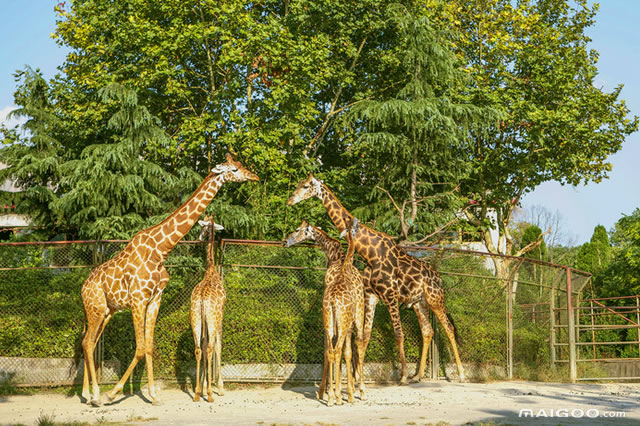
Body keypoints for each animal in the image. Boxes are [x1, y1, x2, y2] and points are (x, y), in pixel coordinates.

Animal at [80, 154, 258, 406]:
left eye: (242, 165)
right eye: (234, 169)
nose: (255, 177)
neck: (161, 249)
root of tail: (84, 287)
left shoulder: (155, 299)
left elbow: (149, 346)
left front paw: (153, 395)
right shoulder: (138, 300)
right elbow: (140, 347)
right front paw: (113, 392)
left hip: (105, 311)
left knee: (89, 342)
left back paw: (87, 394)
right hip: (95, 307)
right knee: (87, 342)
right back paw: (96, 395)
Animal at [284, 218, 368, 404]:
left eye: (297, 229)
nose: (285, 241)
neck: (338, 258)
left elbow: (336, 351)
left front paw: (330, 390)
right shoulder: (354, 316)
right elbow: (348, 351)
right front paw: (348, 391)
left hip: (333, 320)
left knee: (332, 350)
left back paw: (333, 395)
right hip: (347, 319)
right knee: (347, 348)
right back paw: (343, 394)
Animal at [286, 173, 464, 382]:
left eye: (306, 186)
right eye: (299, 184)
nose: (290, 200)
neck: (369, 254)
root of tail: (439, 278)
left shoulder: (390, 295)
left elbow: (398, 334)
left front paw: (402, 375)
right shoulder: (371, 296)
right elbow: (364, 337)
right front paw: (357, 376)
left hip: (435, 300)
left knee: (449, 328)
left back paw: (460, 374)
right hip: (419, 303)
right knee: (428, 331)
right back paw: (418, 375)